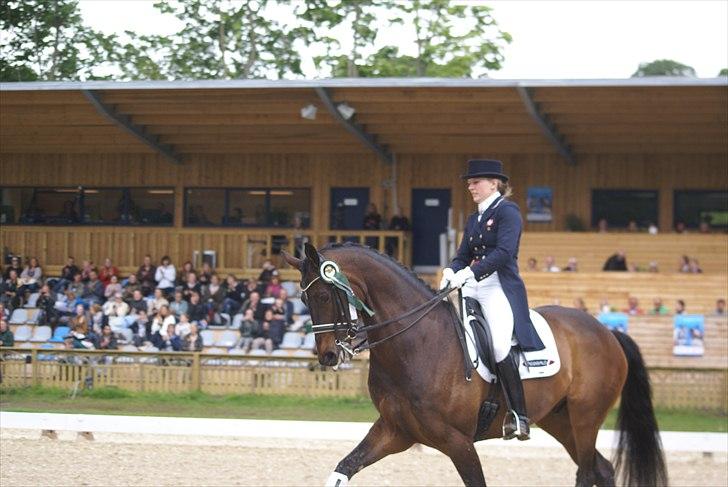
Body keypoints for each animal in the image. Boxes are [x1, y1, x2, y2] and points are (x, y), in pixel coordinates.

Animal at [282, 244, 664, 487]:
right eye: (302, 297)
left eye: (324, 295)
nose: (328, 356)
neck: (415, 345)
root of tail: (607, 331)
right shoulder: (395, 431)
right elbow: (344, 468)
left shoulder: (459, 442)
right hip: (561, 420)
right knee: (602, 470)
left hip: (585, 417)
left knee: (587, 472)